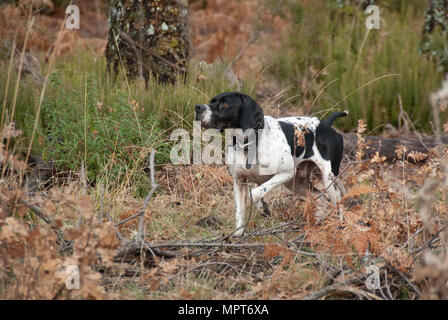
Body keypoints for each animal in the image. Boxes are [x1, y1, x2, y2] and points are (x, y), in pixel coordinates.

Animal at [195, 91, 346, 236]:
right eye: (211, 101)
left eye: (225, 104)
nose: (198, 108)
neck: (249, 144)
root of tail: (325, 124)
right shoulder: (239, 182)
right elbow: (240, 212)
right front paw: (237, 234)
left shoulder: (286, 172)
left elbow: (256, 192)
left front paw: (263, 208)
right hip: (296, 183)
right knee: (319, 198)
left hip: (329, 179)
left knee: (338, 203)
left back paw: (340, 228)